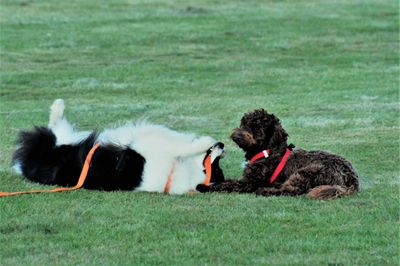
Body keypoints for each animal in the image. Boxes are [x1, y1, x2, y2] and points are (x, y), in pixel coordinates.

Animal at [12, 99, 225, 193]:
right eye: (217, 167)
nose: (223, 145)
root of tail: (27, 165)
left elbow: (183, 145)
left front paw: (203, 141)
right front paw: (205, 141)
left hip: (60, 142)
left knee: (55, 128)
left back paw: (57, 107)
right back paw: (59, 105)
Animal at [198, 108, 360, 200]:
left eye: (256, 127)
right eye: (243, 124)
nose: (236, 136)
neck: (268, 151)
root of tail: (352, 178)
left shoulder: (249, 182)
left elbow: (226, 185)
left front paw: (204, 186)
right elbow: (227, 181)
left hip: (307, 172)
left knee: (291, 190)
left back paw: (265, 191)